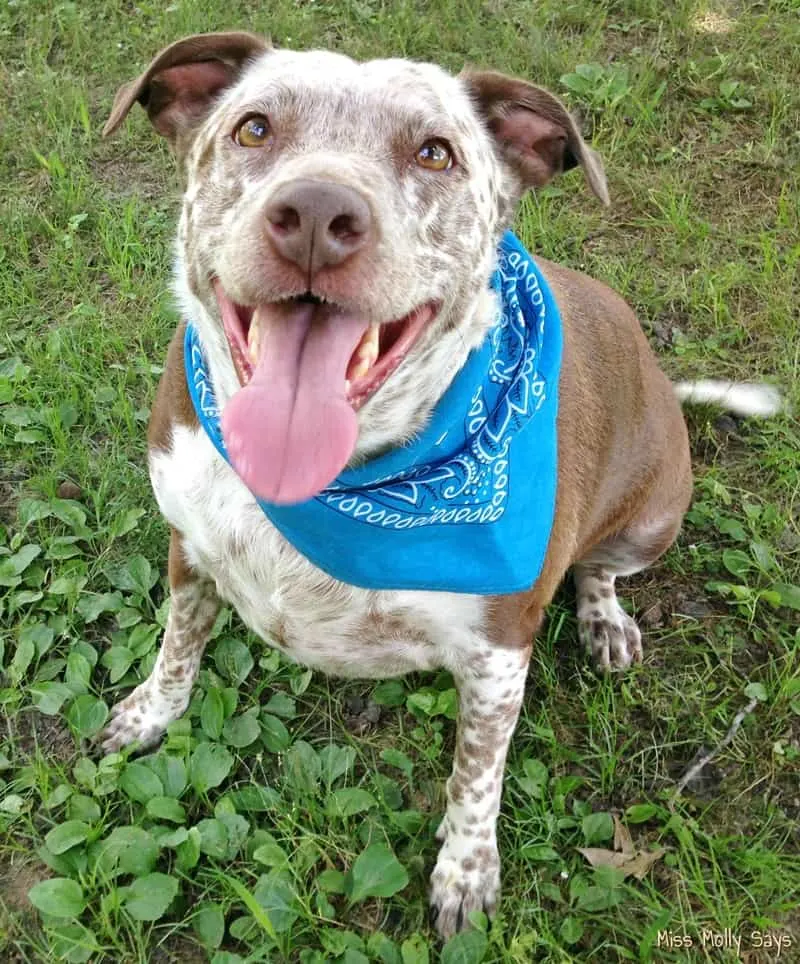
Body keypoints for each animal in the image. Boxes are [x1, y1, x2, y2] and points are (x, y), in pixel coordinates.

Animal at [99, 32, 782, 937]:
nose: (315, 215)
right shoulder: (190, 543)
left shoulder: (497, 655)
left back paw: (604, 620)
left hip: (654, 516)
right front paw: (151, 712)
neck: (340, 483)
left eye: (434, 152)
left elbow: (475, 773)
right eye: (253, 128)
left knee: (599, 568)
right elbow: (178, 644)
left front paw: (465, 870)